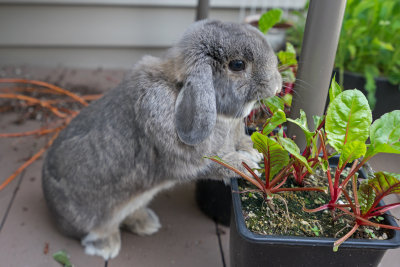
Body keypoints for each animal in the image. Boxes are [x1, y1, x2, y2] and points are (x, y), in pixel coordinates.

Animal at [41, 19, 282, 262]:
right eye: (238, 65)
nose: (277, 85)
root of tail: (50, 207)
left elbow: (241, 140)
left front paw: (254, 151)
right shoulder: (190, 163)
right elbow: (219, 165)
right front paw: (247, 164)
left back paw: (147, 223)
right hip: (95, 217)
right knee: (96, 231)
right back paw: (107, 246)